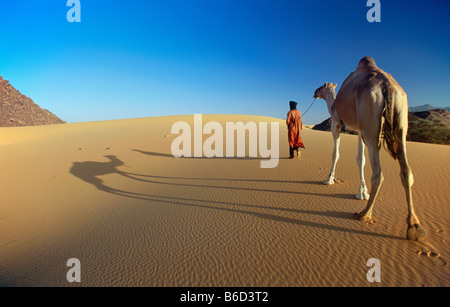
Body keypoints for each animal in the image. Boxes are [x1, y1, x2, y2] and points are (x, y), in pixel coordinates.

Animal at [312, 56, 426, 242]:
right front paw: (362, 192)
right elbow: (360, 159)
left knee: (378, 173)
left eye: (322, 86)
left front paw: (329, 179)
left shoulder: (337, 123)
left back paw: (364, 214)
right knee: (406, 170)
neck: (333, 103)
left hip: (371, 121)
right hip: (401, 121)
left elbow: (336, 154)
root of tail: (387, 86)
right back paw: (414, 227)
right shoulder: (359, 129)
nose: (314, 92)